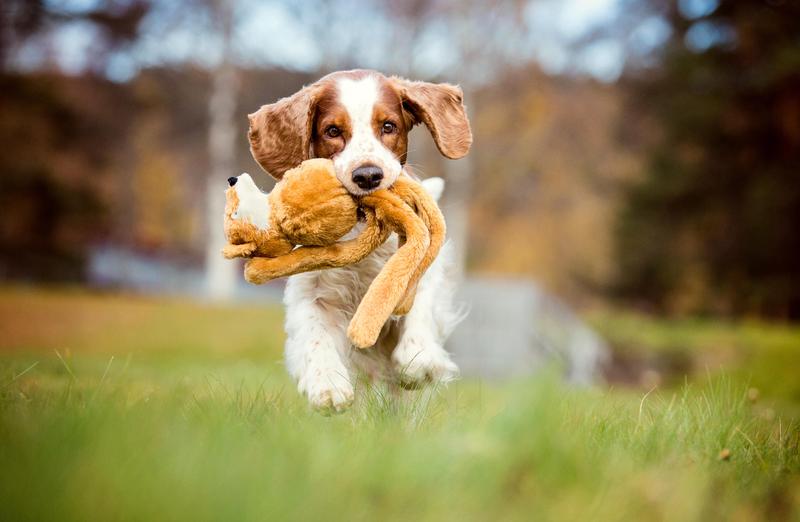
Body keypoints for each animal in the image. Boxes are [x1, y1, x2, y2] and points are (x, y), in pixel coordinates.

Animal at [244, 70, 468, 410]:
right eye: (333, 131)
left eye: (388, 126)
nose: (367, 175)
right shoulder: (311, 290)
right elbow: (314, 332)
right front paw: (327, 385)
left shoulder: (425, 271)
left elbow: (420, 305)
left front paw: (418, 360)